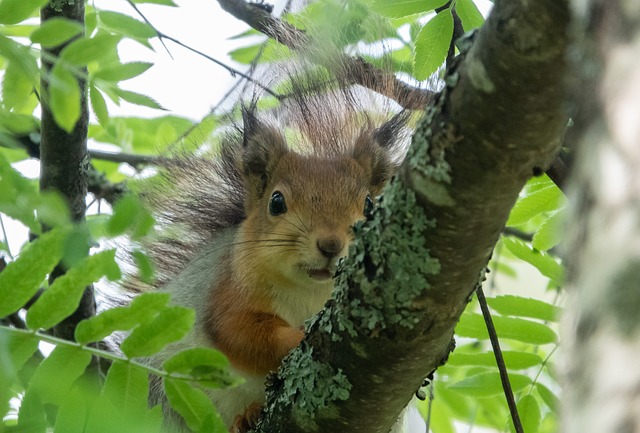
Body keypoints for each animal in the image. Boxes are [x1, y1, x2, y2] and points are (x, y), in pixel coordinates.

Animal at [132, 80, 408, 428]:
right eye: (276, 202)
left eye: (370, 205)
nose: (331, 245)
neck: (310, 290)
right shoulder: (227, 291)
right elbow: (242, 333)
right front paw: (299, 336)